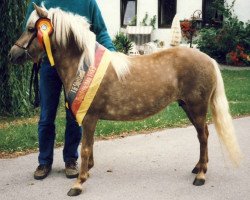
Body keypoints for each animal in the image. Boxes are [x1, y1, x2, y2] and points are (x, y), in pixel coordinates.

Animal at [8, 3, 241, 197]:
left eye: (32, 29)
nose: (12, 55)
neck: (84, 65)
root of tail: (209, 59)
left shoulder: (89, 117)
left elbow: (85, 148)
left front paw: (79, 183)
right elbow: (88, 147)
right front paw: (86, 172)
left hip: (197, 108)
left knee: (203, 136)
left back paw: (201, 175)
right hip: (188, 107)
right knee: (202, 136)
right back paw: (198, 168)